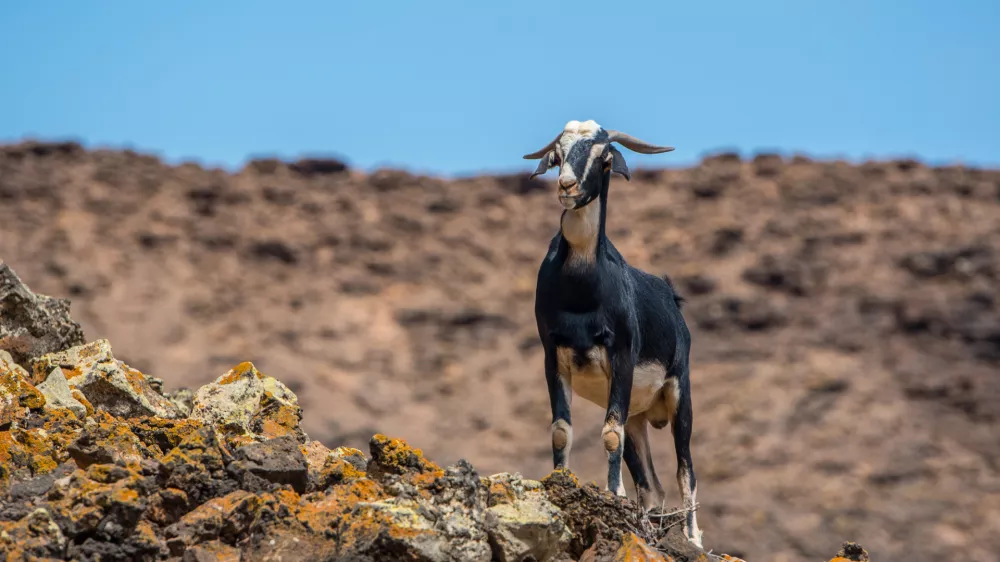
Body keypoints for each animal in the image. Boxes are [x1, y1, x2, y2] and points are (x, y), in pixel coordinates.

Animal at [524, 120, 704, 544]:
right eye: (558, 153)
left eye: (604, 157)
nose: (567, 186)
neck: (582, 289)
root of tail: (672, 299)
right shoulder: (552, 355)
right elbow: (560, 430)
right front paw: (560, 481)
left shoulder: (621, 355)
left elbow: (609, 434)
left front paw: (613, 494)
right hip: (638, 415)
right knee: (652, 482)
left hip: (680, 395)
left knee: (685, 469)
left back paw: (693, 538)